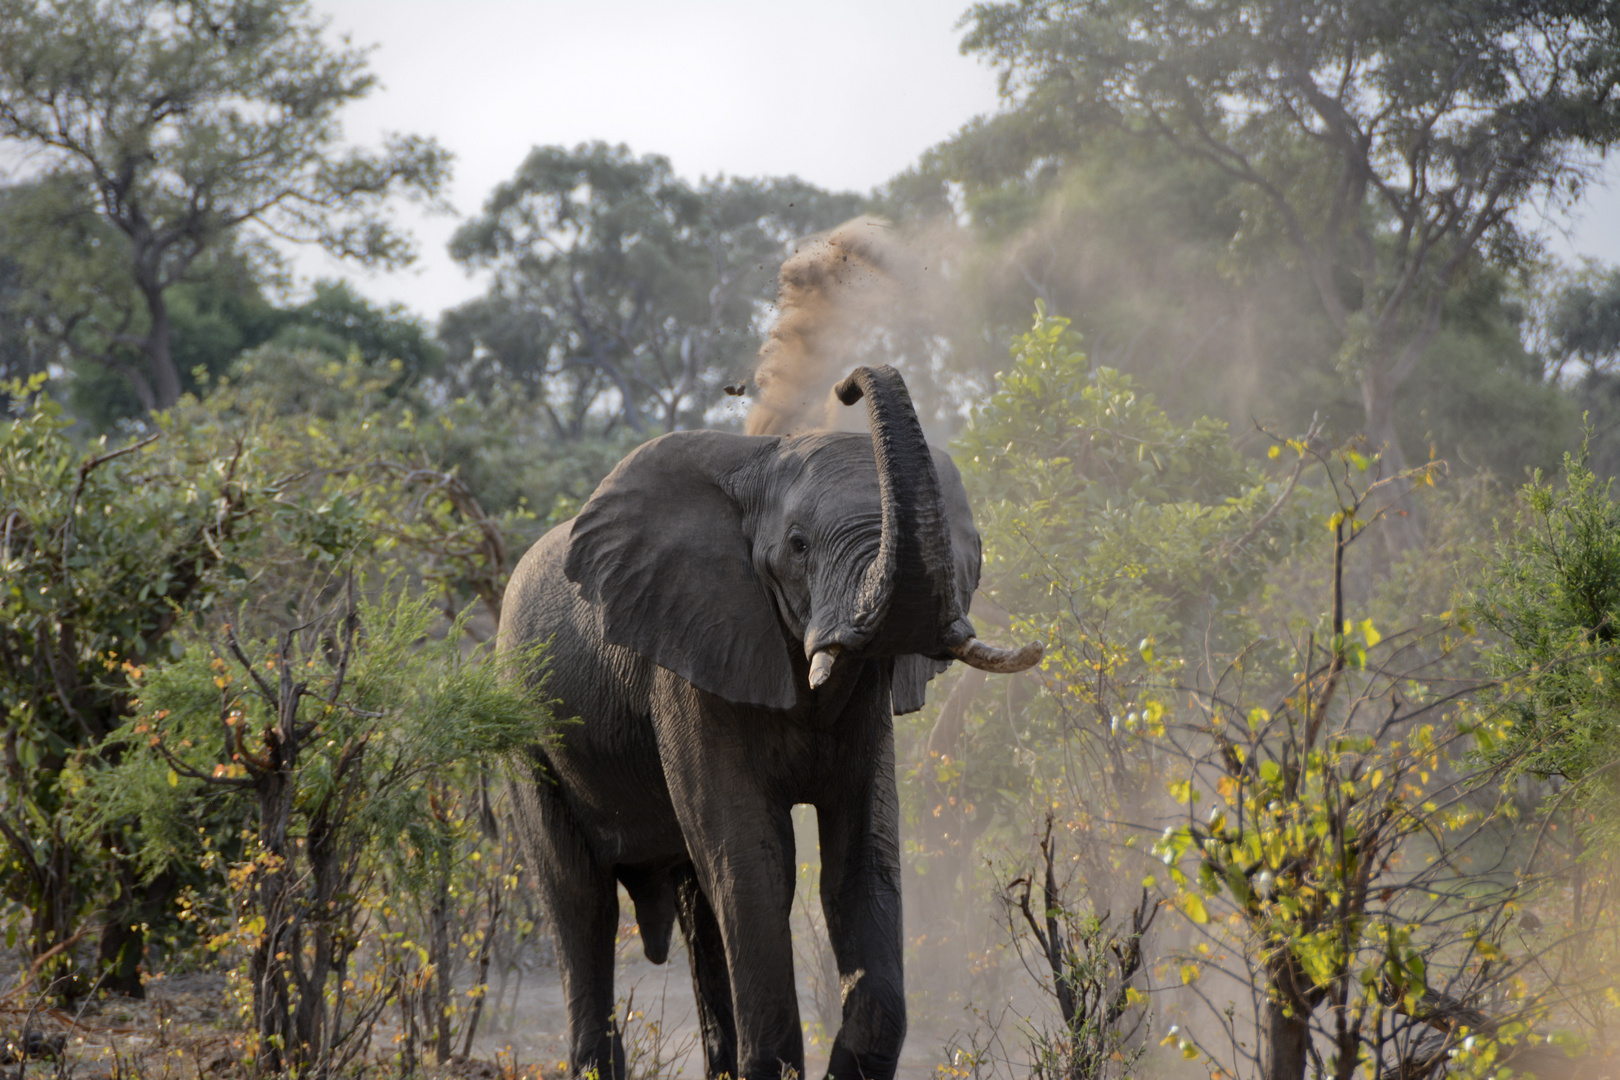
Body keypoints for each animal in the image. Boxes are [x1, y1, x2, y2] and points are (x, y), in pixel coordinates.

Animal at [498, 365, 1043, 1080]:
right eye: (798, 545)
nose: (848, 386)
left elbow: (861, 860)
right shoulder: (691, 660)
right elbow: (756, 863)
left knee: (697, 906)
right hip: (525, 734)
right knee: (581, 901)